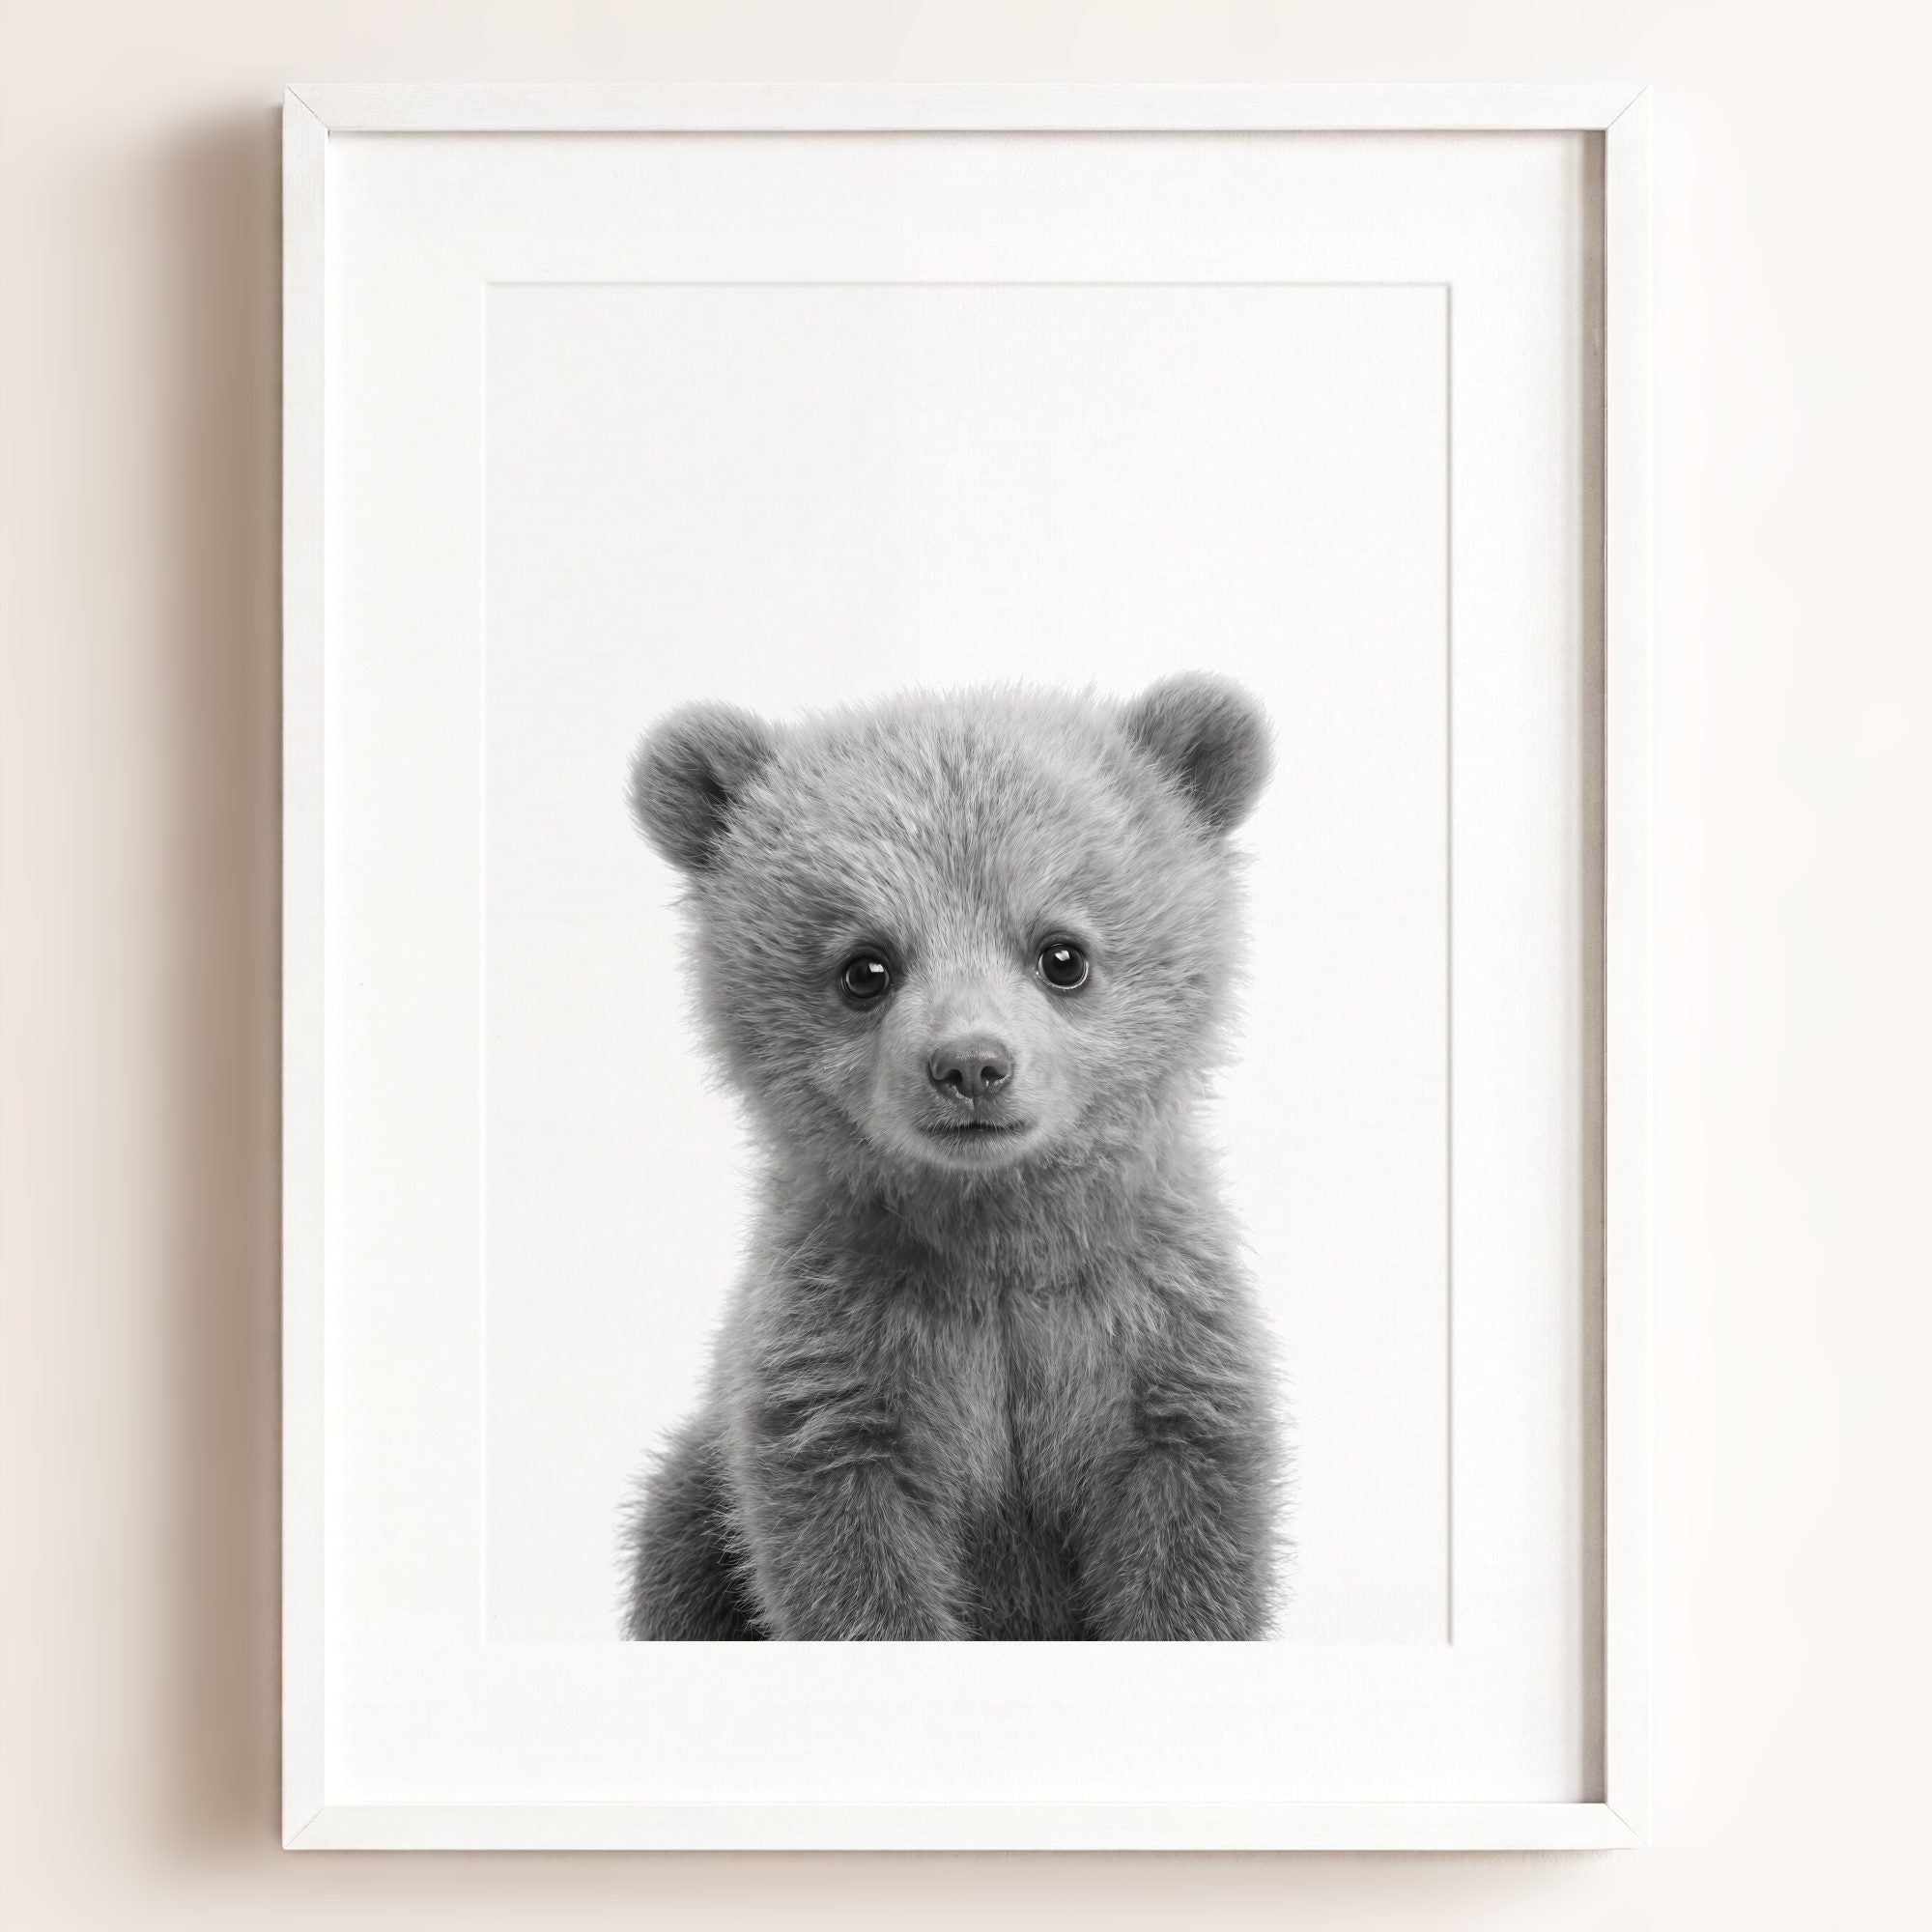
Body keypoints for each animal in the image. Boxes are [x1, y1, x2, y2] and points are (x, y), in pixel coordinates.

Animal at [620, 673, 1284, 1640]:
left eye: (1062, 954)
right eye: (865, 967)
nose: (971, 1065)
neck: (994, 1238)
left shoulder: (1154, 1341)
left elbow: (1188, 1548)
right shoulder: (843, 1364)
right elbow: (851, 1565)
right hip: (695, 1506)